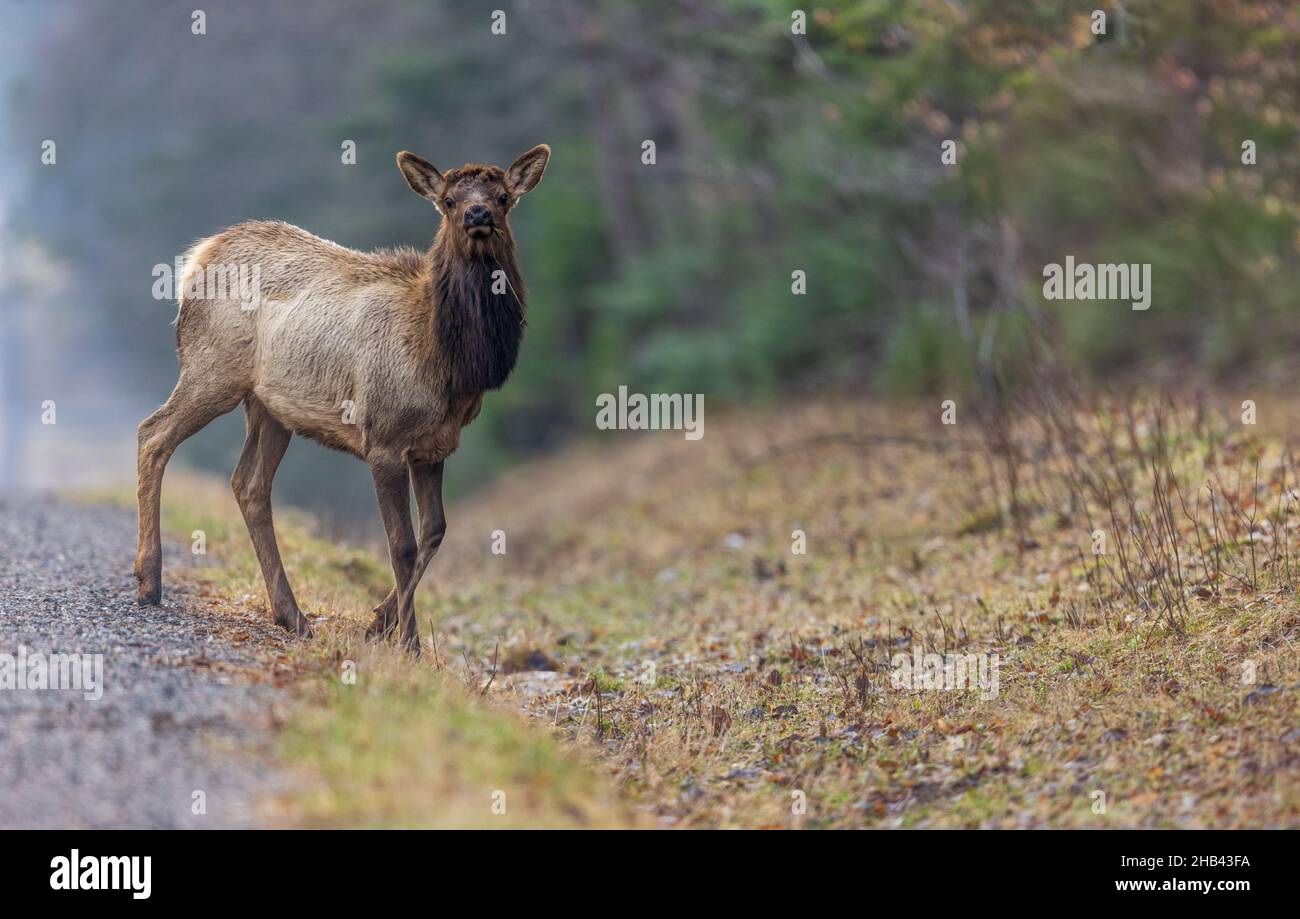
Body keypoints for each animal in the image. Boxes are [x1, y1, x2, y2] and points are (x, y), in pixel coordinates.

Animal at [134, 144, 550, 655]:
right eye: (449, 200)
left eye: (504, 197)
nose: (478, 214)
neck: (449, 363)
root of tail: (197, 258)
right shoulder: (384, 438)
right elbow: (402, 544)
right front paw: (407, 644)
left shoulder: (434, 446)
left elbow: (434, 532)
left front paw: (379, 623)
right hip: (211, 369)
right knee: (153, 434)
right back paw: (149, 581)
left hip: (269, 407)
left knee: (248, 483)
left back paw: (291, 615)